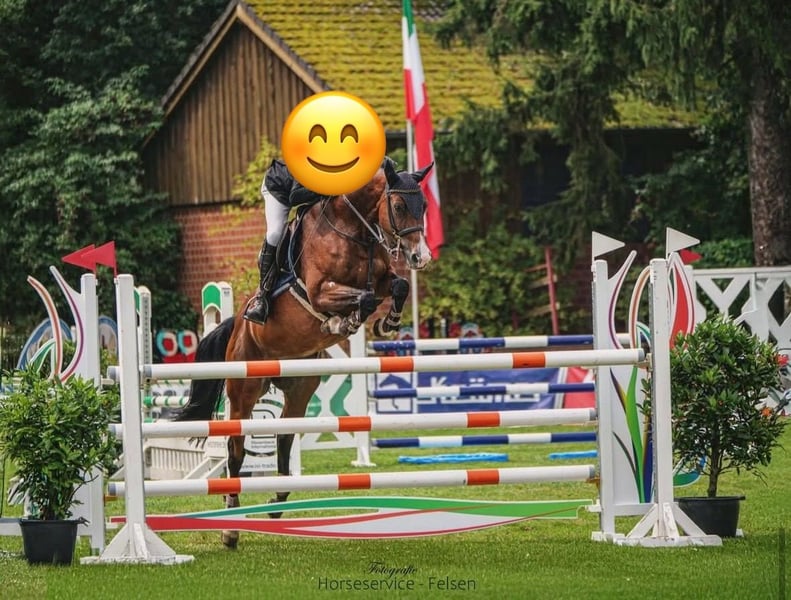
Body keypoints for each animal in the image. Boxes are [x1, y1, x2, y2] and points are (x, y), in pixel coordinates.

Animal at [176, 158, 433, 547]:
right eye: (400, 205)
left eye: (425, 206)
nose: (421, 257)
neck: (352, 229)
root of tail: (236, 326)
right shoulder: (319, 291)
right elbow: (363, 297)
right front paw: (343, 322)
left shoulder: (382, 279)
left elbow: (397, 285)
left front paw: (386, 323)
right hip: (243, 390)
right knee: (236, 449)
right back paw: (231, 526)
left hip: (300, 386)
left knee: (284, 436)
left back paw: (276, 504)